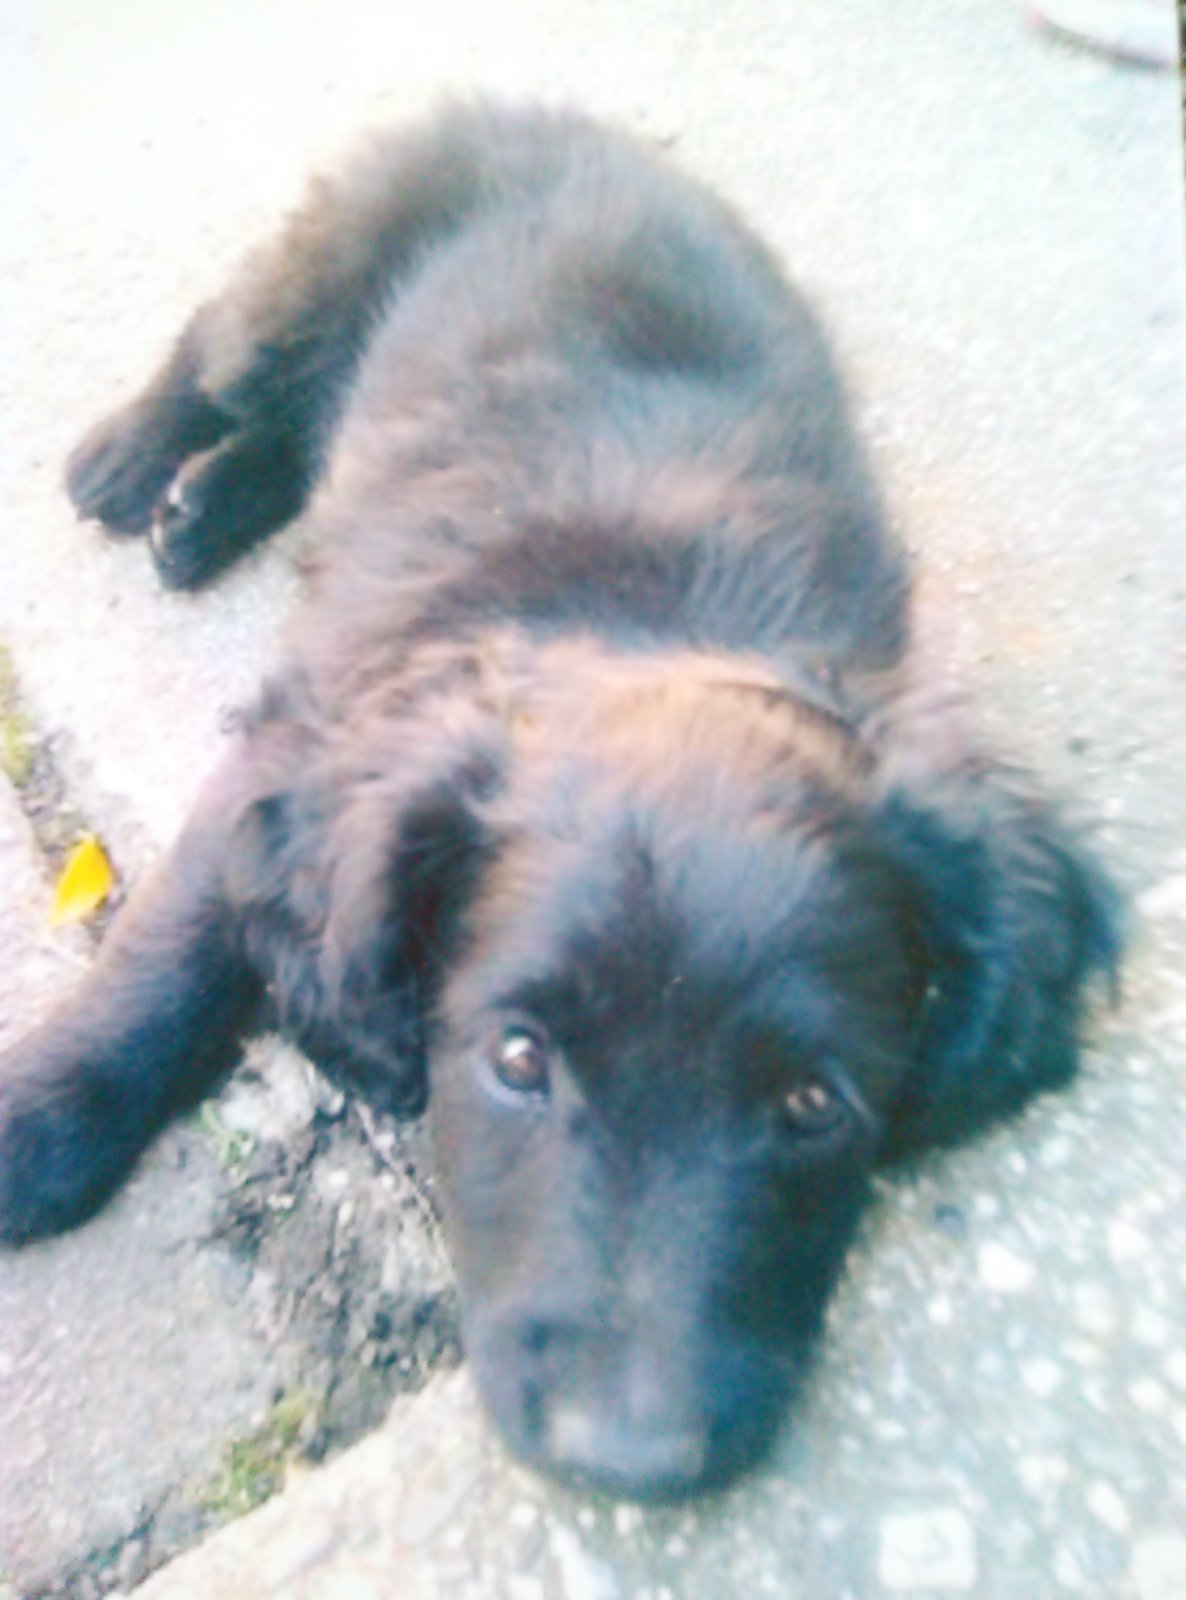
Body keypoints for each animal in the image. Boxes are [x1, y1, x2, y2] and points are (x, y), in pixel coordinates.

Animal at [0, 104, 1119, 1501]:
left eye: (815, 1104)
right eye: (518, 1060)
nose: (626, 1461)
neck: (650, 629)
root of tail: (570, 120)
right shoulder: (288, 760)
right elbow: (161, 967)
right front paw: (31, 1124)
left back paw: (202, 508)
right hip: (314, 270)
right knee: (225, 351)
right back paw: (134, 459)